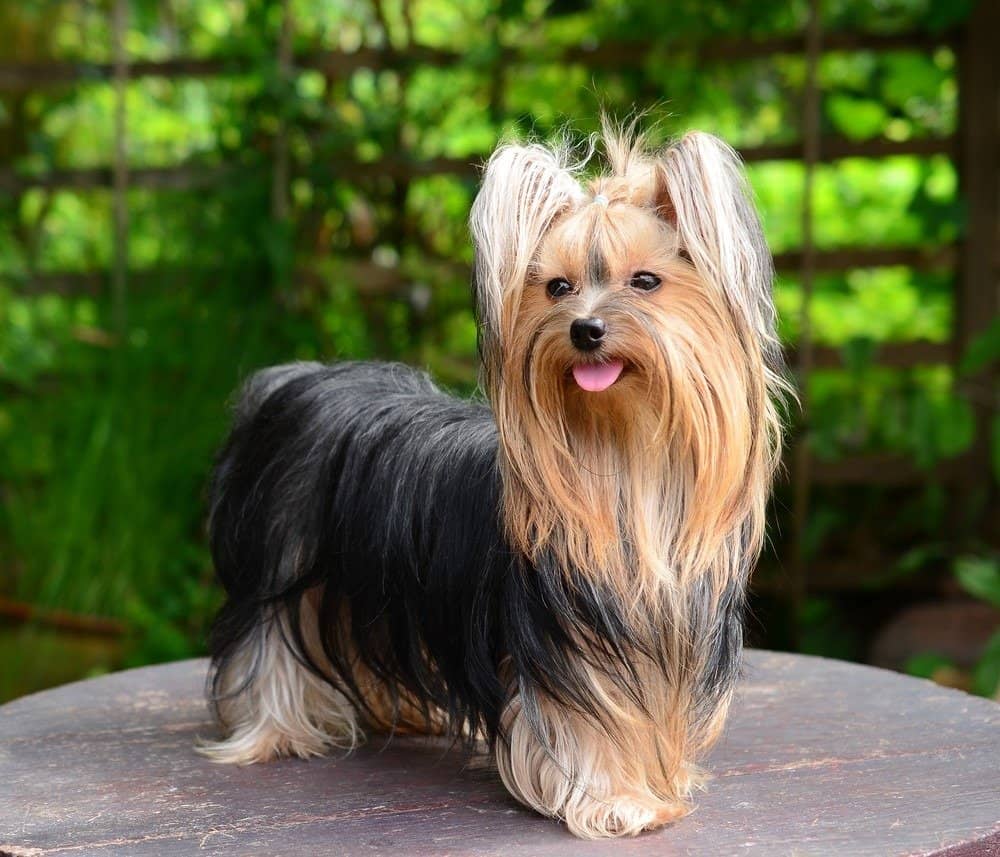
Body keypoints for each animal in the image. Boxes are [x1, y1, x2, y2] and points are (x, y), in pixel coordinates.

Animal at [197, 120, 788, 836]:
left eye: (646, 281)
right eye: (557, 287)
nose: (585, 329)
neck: (624, 458)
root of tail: (292, 379)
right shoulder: (566, 652)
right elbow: (582, 728)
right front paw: (616, 802)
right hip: (284, 561)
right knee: (268, 644)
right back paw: (275, 731)